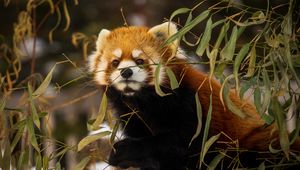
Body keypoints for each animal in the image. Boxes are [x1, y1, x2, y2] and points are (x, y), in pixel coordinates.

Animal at [89, 22, 300, 170]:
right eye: (115, 62)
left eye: (140, 60)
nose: (126, 72)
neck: (143, 101)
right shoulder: (133, 118)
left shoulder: (192, 107)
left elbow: (184, 145)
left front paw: (124, 151)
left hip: (255, 145)